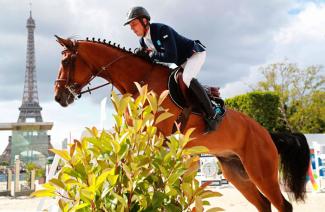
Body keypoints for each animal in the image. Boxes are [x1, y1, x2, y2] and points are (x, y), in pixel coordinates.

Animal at [53, 36, 308, 212]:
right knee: (263, 204)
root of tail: (267, 133)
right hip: (236, 172)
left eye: (66, 60)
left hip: (260, 171)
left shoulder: (157, 135)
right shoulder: (135, 133)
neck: (139, 79)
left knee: (282, 205)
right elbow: (122, 157)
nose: (58, 97)